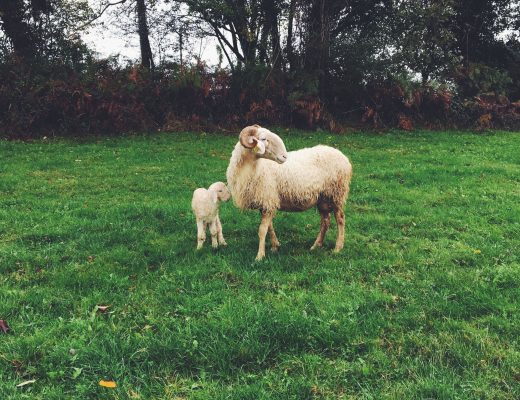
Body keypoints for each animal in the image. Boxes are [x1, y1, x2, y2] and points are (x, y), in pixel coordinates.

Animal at [225, 126, 352, 262]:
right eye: (263, 139)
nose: (284, 157)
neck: (253, 167)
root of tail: (343, 157)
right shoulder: (266, 201)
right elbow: (269, 227)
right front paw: (275, 246)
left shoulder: (268, 200)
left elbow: (262, 230)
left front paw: (260, 256)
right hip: (323, 198)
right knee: (326, 221)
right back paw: (316, 245)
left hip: (337, 193)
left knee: (340, 219)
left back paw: (338, 248)